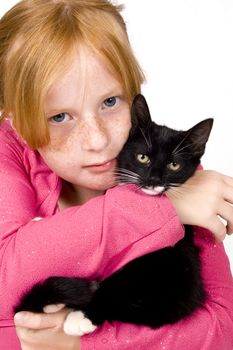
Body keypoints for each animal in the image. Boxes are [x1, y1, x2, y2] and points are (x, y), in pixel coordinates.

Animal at [15, 95, 214, 336]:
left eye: (174, 165)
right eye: (143, 157)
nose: (154, 180)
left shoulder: (179, 280)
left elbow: (126, 300)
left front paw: (83, 316)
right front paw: (42, 221)